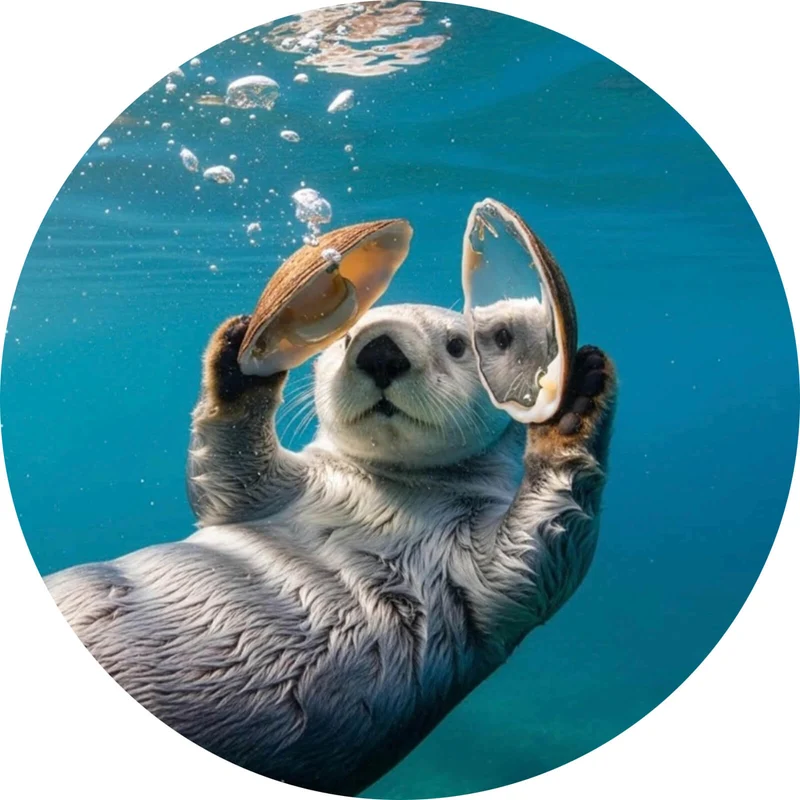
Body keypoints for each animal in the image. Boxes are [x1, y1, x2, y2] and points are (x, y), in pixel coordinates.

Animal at [45, 302, 616, 796]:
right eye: (345, 336)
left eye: (459, 345)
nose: (380, 350)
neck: (386, 494)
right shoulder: (272, 493)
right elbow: (224, 476)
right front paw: (239, 357)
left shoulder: (484, 570)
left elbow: (538, 555)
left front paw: (577, 402)